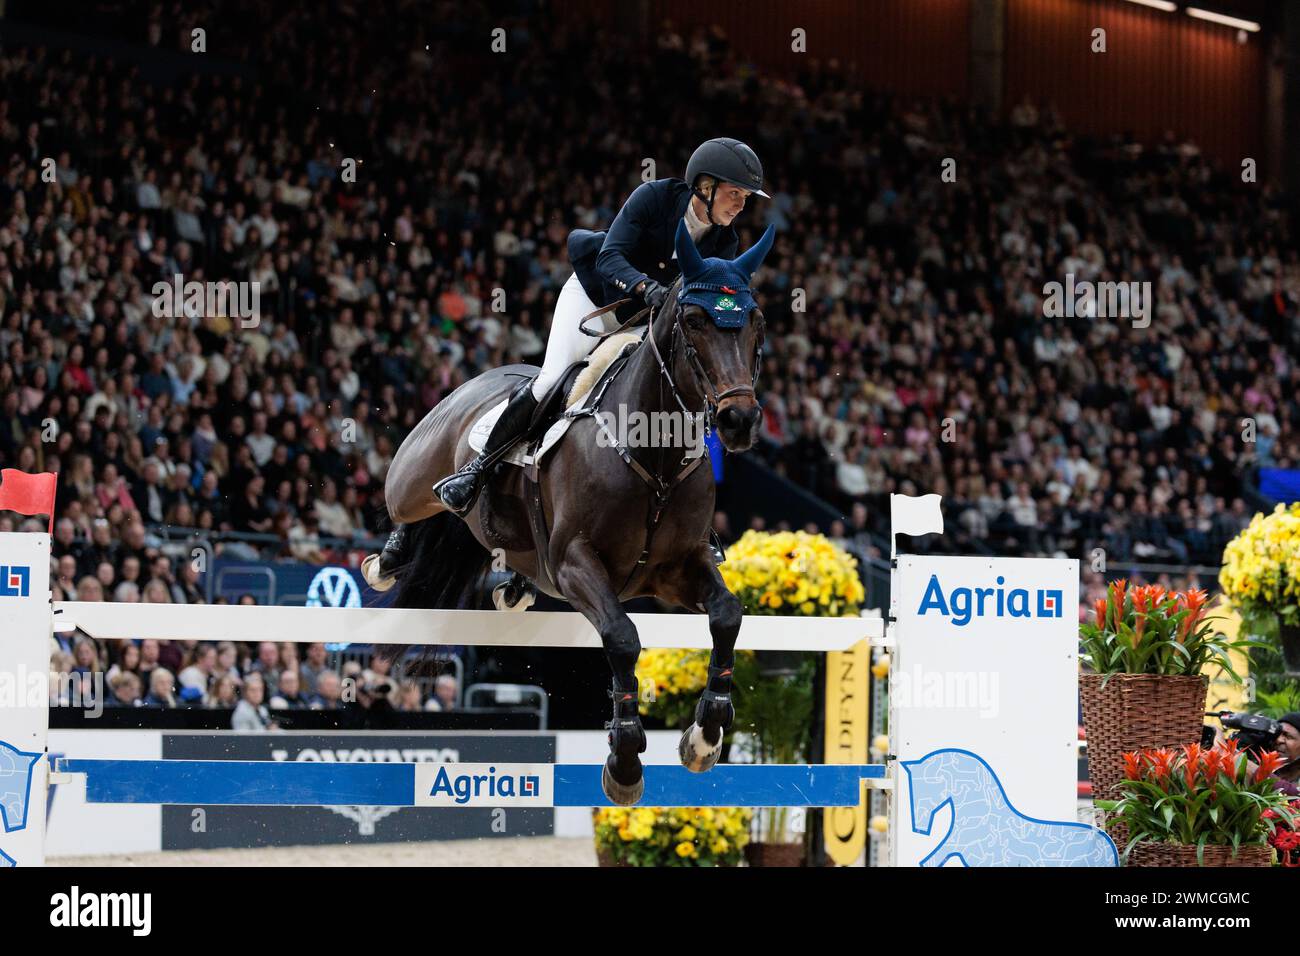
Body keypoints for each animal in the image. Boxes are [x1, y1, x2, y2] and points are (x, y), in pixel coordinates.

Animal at [366, 221, 769, 806]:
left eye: (755, 323)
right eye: (695, 321)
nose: (739, 420)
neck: (653, 451)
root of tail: (480, 379)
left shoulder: (678, 569)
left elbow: (727, 615)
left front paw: (705, 735)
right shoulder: (576, 564)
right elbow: (622, 638)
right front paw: (625, 761)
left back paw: (512, 585)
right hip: (416, 474)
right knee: (409, 501)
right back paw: (390, 556)